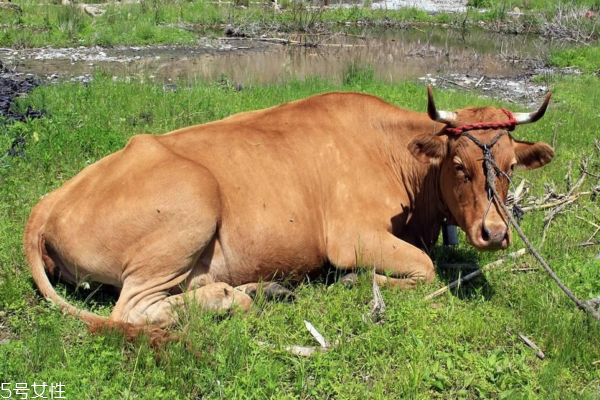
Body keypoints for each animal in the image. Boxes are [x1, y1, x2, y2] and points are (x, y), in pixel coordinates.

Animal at [24, 89, 552, 332]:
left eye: (508, 166)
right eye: (459, 166)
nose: (494, 233)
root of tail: (47, 202)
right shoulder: (350, 237)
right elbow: (425, 269)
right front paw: (356, 281)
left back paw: (263, 288)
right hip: (193, 203)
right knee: (132, 310)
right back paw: (232, 297)